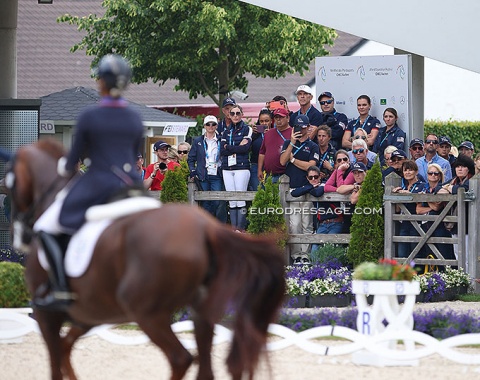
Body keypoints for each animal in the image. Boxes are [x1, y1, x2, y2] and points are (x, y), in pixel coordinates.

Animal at [7, 140, 284, 380]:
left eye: (8, 184)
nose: (20, 235)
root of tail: (206, 229)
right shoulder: (90, 312)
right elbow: (65, 347)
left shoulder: (47, 315)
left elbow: (55, 359)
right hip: (199, 310)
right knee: (203, 366)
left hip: (148, 312)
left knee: (180, 358)